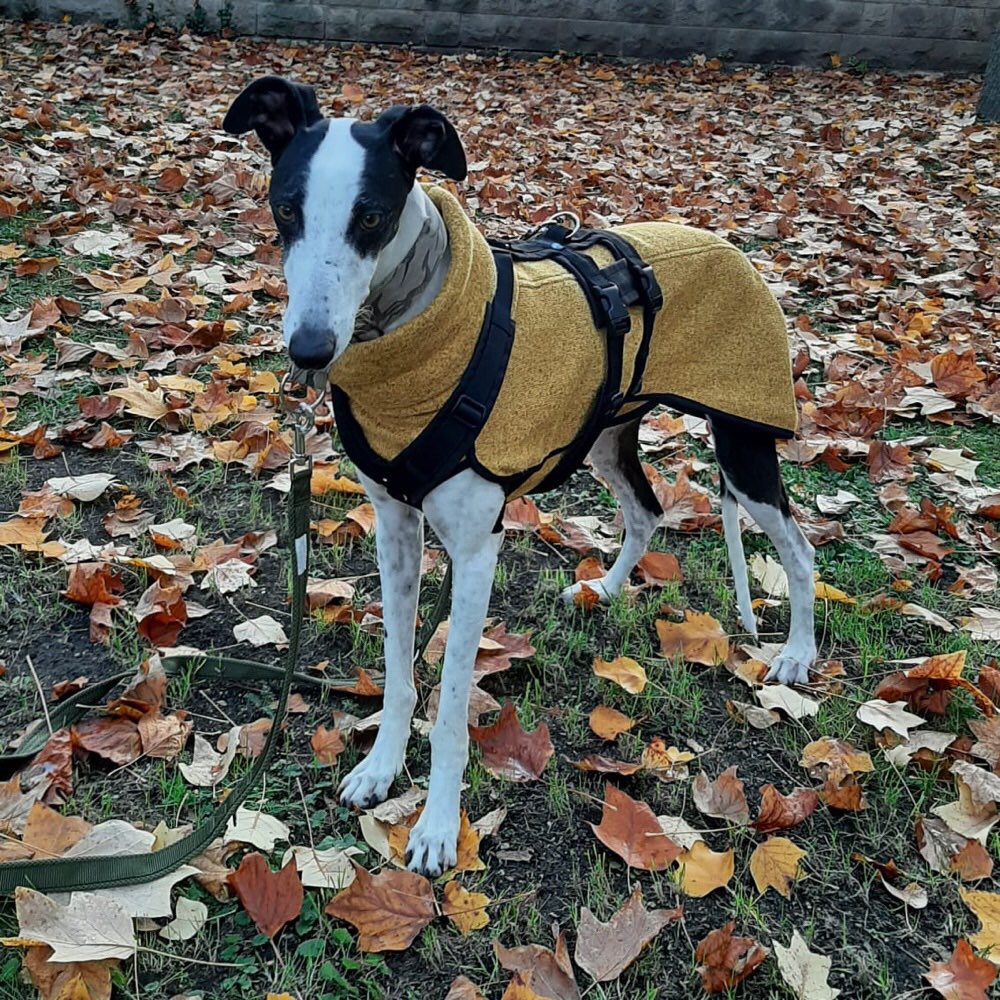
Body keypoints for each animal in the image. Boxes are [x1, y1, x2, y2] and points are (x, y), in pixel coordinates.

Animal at [223, 78, 816, 876]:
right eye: (286, 208)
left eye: (370, 216)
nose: (310, 351)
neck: (410, 335)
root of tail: (731, 247)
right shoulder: (396, 530)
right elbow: (401, 671)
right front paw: (381, 768)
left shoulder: (477, 551)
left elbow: (448, 705)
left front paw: (437, 827)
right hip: (605, 436)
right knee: (646, 510)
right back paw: (603, 588)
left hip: (745, 448)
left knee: (799, 547)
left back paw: (797, 654)